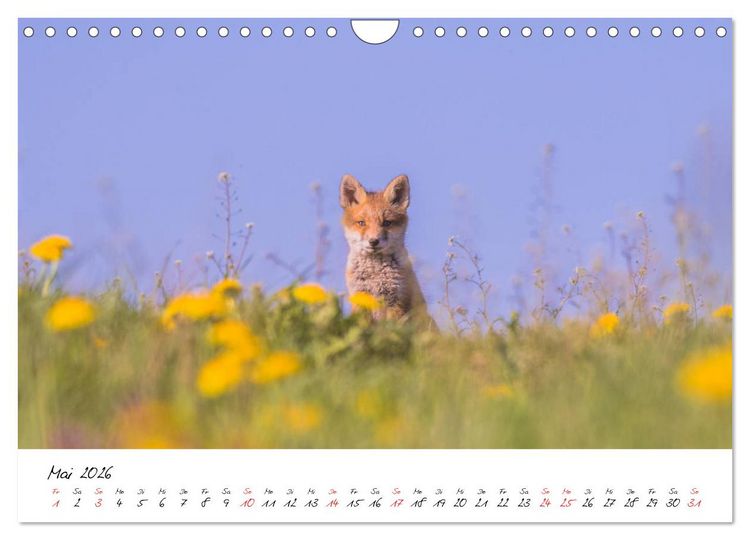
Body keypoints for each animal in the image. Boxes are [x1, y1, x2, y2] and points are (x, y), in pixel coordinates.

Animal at [339, 173, 433, 326]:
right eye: (362, 223)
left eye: (387, 223)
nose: (373, 241)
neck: (375, 274)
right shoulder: (360, 298)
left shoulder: (396, 300)